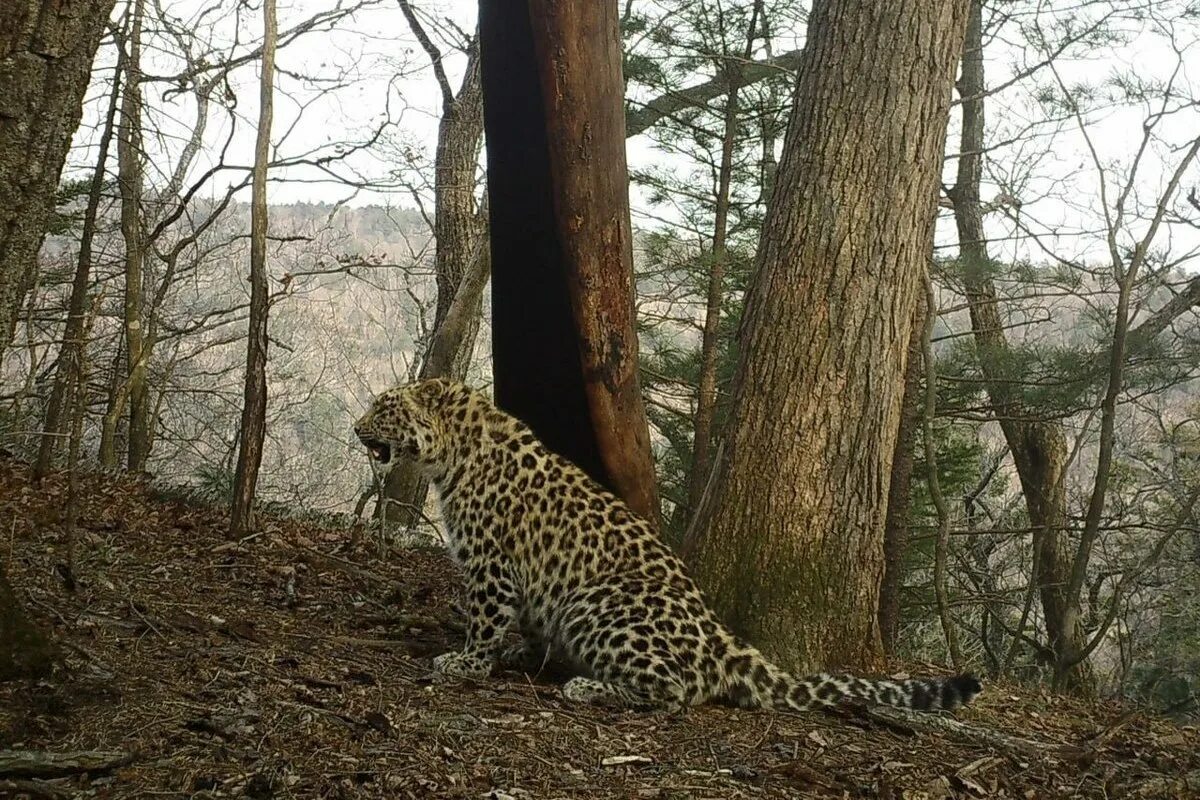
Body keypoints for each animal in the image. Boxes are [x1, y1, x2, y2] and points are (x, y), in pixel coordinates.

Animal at [350, 381, 979, 714]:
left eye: (384, 409)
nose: (357, 429)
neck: (451, 452)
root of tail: (725, 640)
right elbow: (523, 623)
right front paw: (520, 655)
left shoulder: (493, 565)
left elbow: (484, 621)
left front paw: (467, 662)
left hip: (598, 603)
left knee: (676, 691)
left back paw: (587, 686)